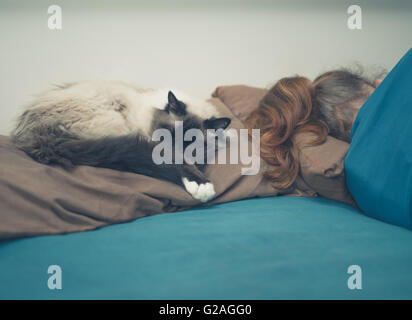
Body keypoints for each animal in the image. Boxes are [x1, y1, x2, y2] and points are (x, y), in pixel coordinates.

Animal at [11, 82, 232, 202]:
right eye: (168, 135)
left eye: (193, 145)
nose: (175, 149)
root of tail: (35, 131)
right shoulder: (153, 145)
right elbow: (178, 164)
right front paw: (202, 187)